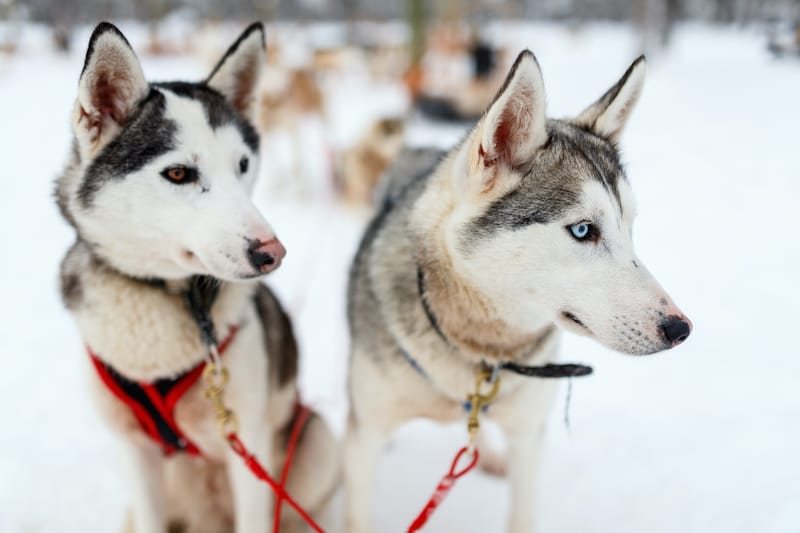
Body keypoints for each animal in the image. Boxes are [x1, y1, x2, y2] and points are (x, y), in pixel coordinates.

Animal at [56, 21, 338, 532]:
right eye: (178, 173)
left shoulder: (248, 448)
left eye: (243, 165)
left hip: (314, 440)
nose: (272, 253)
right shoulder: (137, 454)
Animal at [346, 51, 692, 532]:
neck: (480, 349)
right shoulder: (364, 443)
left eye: (630, 226)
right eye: (583, 230)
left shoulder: (529, 438)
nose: (680, 329)